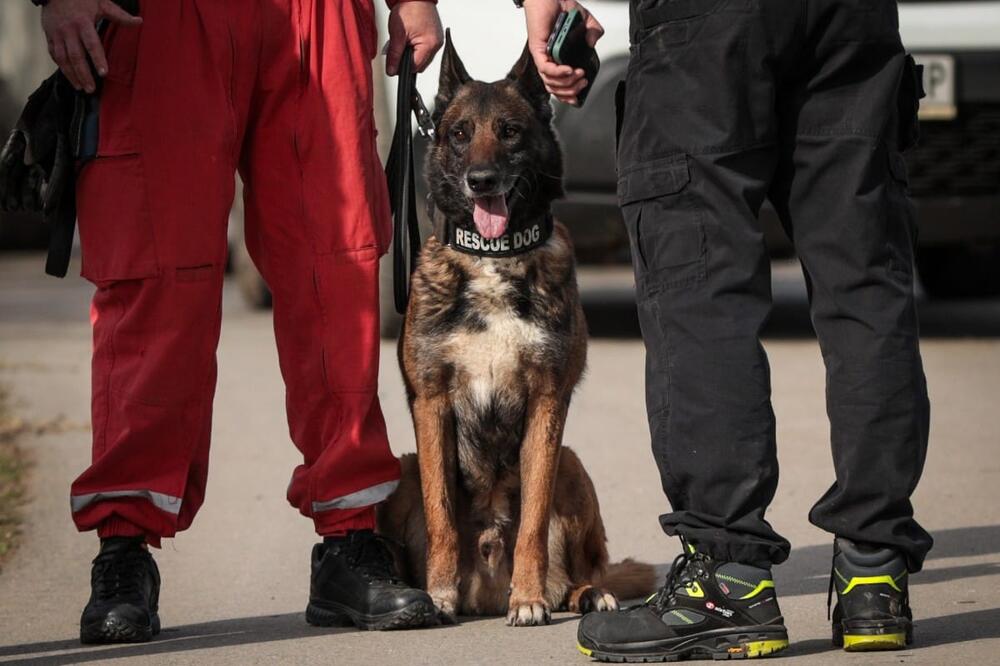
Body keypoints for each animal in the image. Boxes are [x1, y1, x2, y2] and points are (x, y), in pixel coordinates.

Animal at [376, 33, 656, 624]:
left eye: (509, 131)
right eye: (459, 134)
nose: (481, 181)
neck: (494, 258)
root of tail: (487, 582)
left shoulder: (548, 402)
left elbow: (532, 518)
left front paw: (528, 598)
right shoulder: (431, 404)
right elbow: (440, 512)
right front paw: (438, 592)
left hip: (572, 463)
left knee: (585, 567)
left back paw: (583, 594)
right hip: (402, 472)